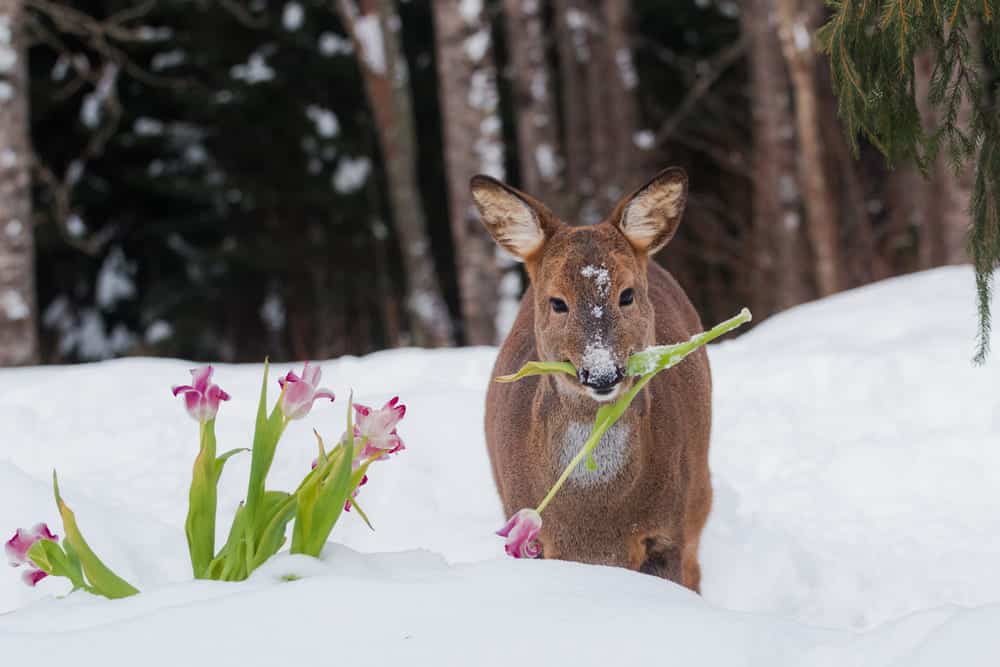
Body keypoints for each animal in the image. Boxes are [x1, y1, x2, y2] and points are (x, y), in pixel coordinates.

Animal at [474, 168, 712, 596]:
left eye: (627, 295)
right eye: (557, 302)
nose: (602, 373)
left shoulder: (667, 531)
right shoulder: (536, 538)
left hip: (699, 490)